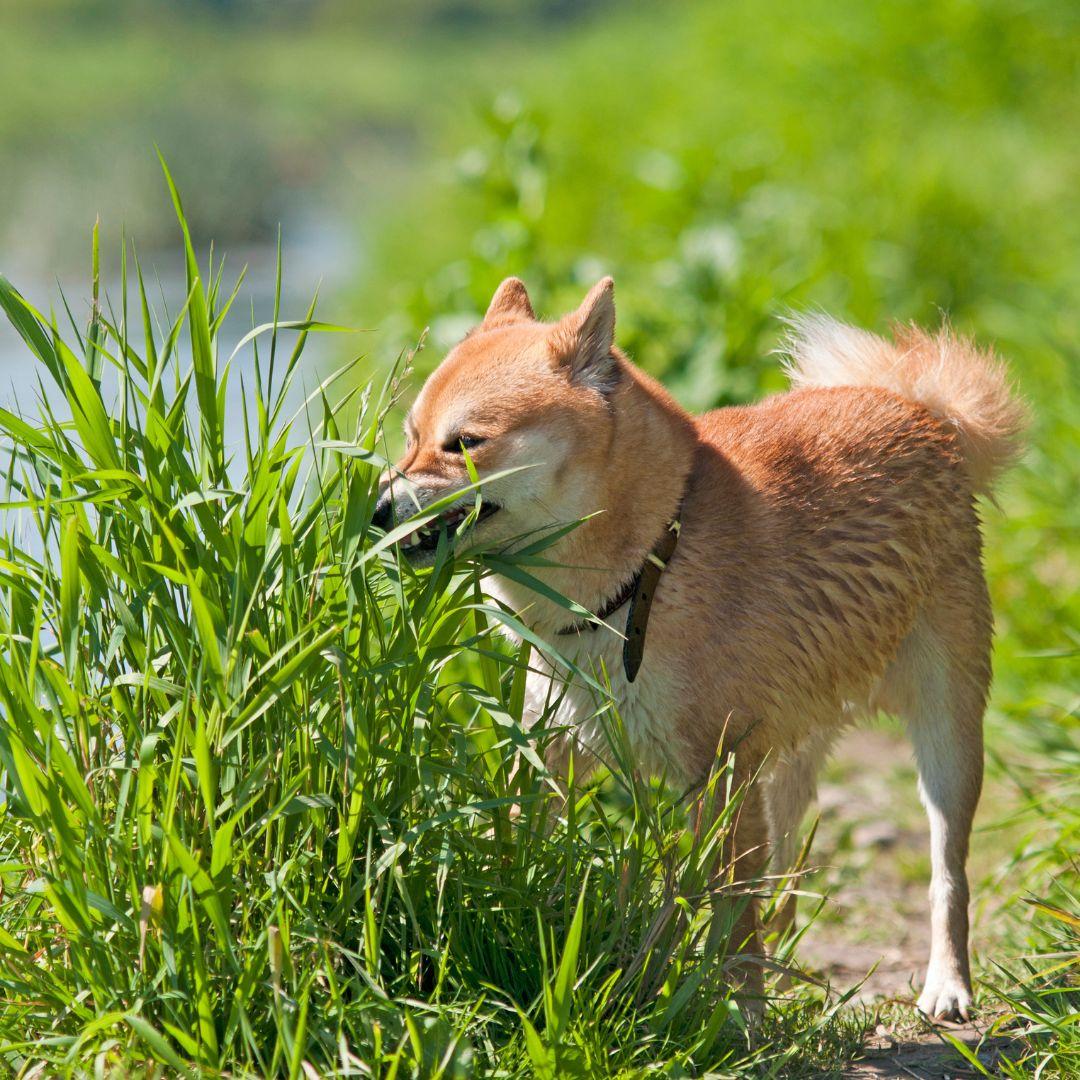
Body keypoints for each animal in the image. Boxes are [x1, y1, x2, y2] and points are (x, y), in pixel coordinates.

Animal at [375, 276, 1023, 1019]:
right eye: (411, 438)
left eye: (465, 443)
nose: (378, 509)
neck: (647, 569)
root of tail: (921, 410)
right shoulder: (555, 748)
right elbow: (517, 847)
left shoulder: (720, 770)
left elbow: (728, 910)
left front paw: (739, 1017)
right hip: (789, 757)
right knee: (783, 868)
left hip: (945, 740)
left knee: (947, 871)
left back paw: (947, 983)